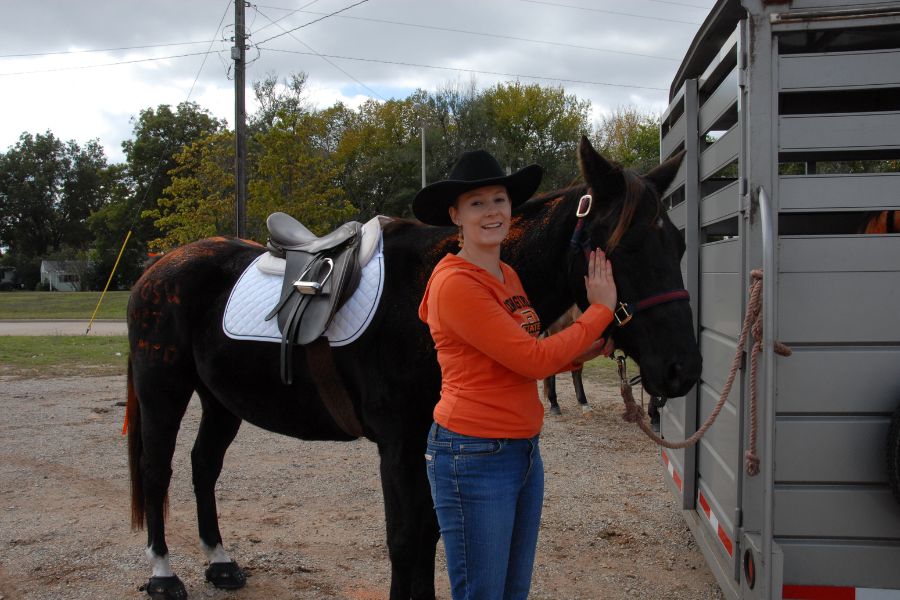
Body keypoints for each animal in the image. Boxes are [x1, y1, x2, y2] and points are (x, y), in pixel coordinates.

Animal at [125, 137, 704, 600]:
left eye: (677, 243)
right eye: (620, 248)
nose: (683, 369)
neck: (422, 292)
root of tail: (157, 268)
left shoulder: (425, 440)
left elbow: (426, 536)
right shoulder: (399, 443)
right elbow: (407, 541)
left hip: (221, 399)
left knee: (204, 465)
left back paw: (220, 564)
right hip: (163, 390)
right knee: (158, 470)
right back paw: (163, 574)